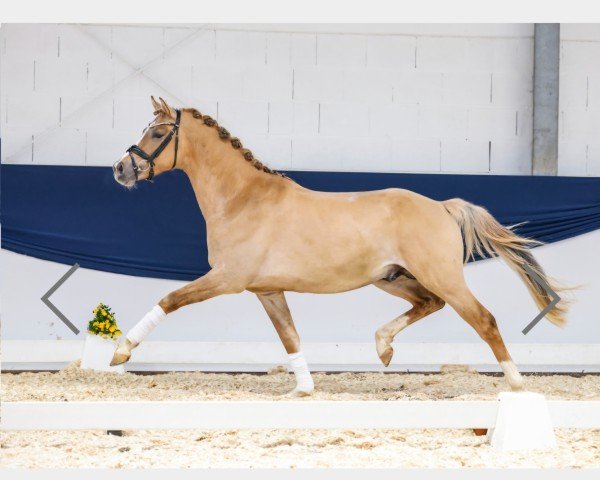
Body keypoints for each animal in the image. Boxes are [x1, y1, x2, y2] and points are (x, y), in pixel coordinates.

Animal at [111, 96, 568, 394]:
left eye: (157, 132)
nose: (120, 169)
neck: (243, 199)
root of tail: (441, 206)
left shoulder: (227, 279)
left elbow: (170, 299)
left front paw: (121, 352)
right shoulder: (267, 290)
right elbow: (290, 338)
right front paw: (303, 389)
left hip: (443, 277)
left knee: (483, 319)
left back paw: (516, 383)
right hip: (394, 278)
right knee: (428, 304)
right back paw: (383, 348)